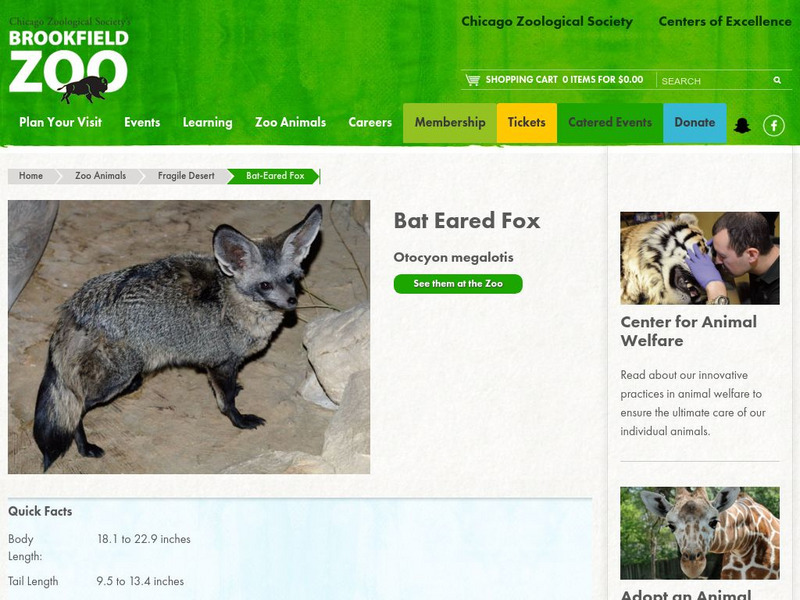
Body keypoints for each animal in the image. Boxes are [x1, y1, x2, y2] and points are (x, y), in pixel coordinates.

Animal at [33, 204, 323, 471]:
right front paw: (240, 421)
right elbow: (227, 402)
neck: (231, 301)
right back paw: (84, 448)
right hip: (116, 378)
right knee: (77, 409)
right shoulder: (220, 364)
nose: (292, 302)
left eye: (290, 279)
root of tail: (74, 306)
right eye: (265, 285)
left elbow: (229, 391)